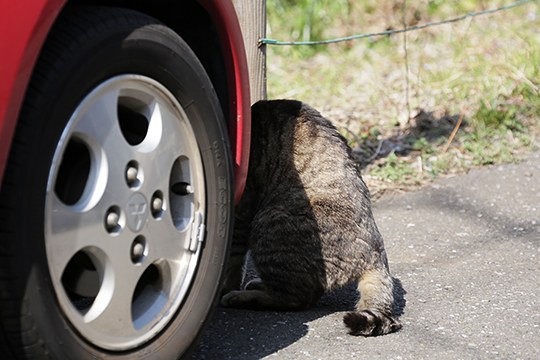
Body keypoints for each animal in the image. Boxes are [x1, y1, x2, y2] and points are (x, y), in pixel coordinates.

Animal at [221, 100, 402, 336]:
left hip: (270, 221)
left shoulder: (243, 207)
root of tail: (376, 255)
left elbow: (232, 259)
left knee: (296, 298)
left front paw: (224, 287)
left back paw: (243, 296)